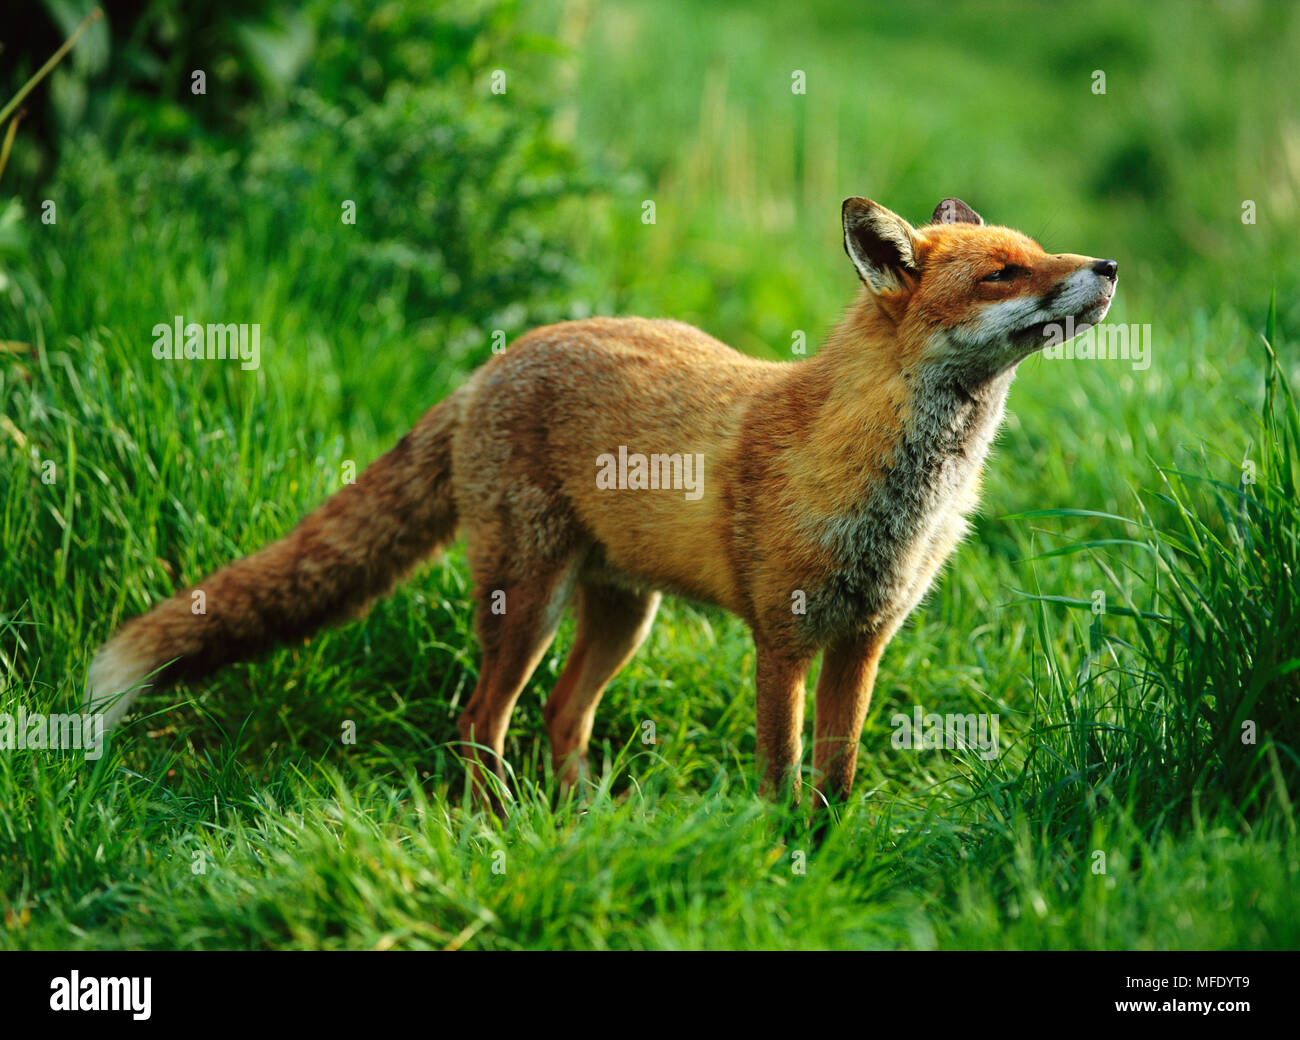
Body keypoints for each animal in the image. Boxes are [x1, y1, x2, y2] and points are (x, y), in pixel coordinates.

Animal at [86, 196, 1116, 811]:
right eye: (1001, 273)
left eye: (1037, 252)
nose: (1106, 266)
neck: (899, 496)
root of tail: (493, 365)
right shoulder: (782, 638)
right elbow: (780, 770)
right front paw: (780, 859)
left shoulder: (864, 638)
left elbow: (837, 774)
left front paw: (828, 856)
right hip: (527, 605)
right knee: (481, 720)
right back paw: (494, 828)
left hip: (625, 615)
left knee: (561, 718)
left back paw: (582, 826)